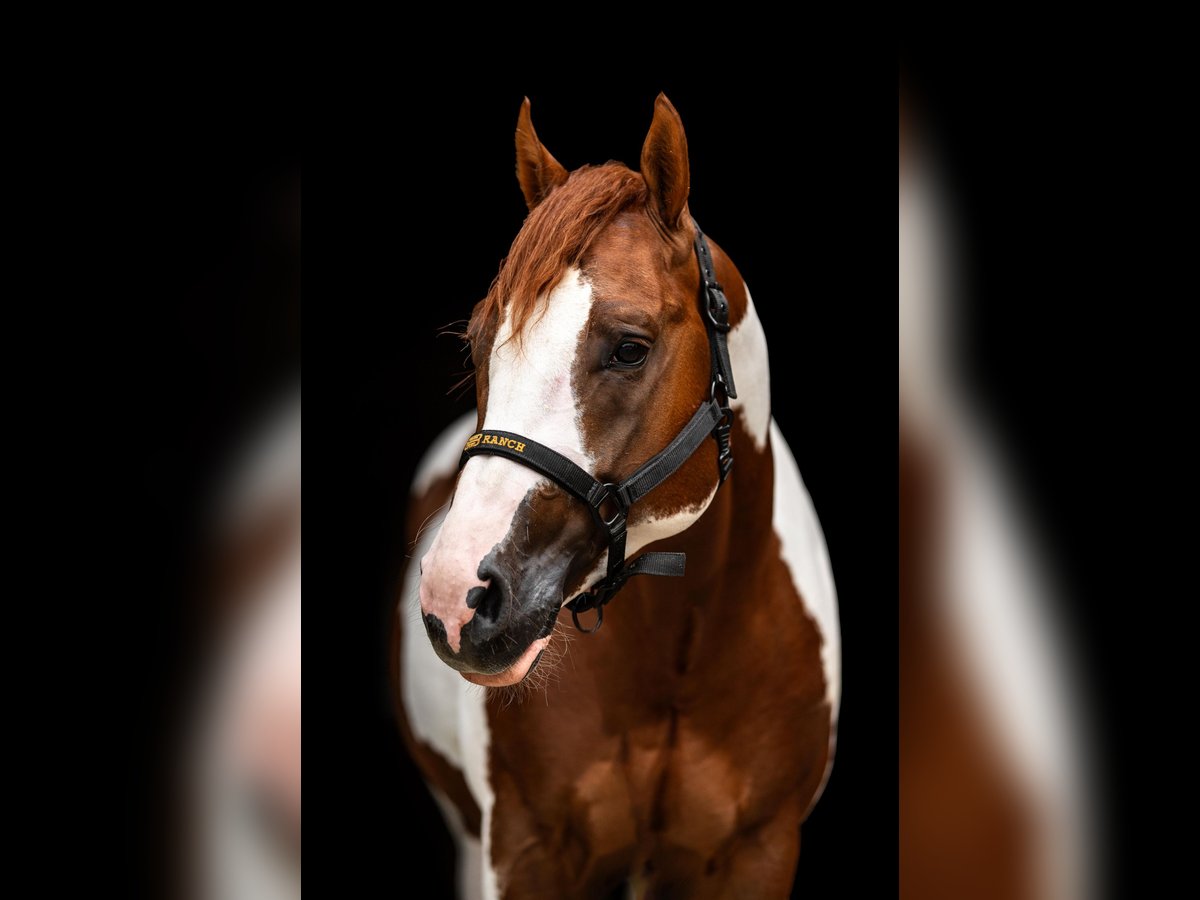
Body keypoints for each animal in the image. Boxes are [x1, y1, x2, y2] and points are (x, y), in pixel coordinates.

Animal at [392, 94, 839, 899]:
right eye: (479, 342)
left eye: (630, 347)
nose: (455, 596)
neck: (678, 655)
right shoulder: (525, 851)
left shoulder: (758, 851)